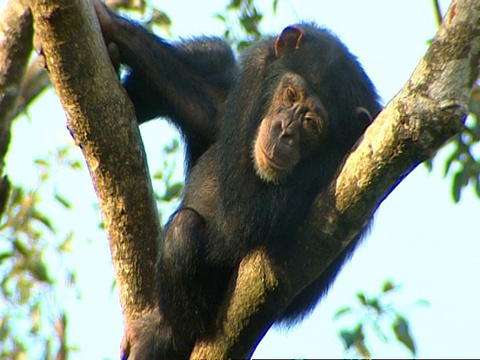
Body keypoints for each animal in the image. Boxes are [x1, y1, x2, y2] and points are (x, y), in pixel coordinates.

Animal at [95, 2, 382, 358]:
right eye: (290, 94)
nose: (285, 130)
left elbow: (241, 219)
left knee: (183, 233)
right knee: (214, 52)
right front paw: (115, 26)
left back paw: (163, 334)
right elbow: (209, 97)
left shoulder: (335, 169)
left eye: (312, 123)